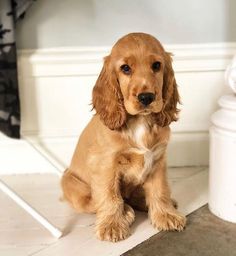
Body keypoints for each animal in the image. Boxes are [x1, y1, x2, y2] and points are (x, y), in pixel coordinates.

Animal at [60, 32, 186, 242]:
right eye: (125, 68)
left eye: (156, 65)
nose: (146, 97)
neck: (140, 122)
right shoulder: (105, 164)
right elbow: (109, 196)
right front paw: (112, 225)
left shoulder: (157, 159)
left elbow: (159, 190)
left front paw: (165, 215)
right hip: (70, 183)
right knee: (96, 202)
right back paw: (126, 211)